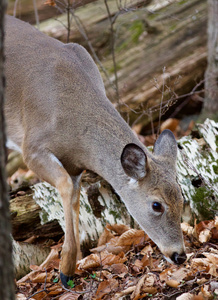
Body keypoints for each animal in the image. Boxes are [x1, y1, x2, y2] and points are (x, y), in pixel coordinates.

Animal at [4, 15, 186, 288]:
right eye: (156, 205)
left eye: (182, 197)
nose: (179, 255)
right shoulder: (32, 146)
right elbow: (65, 186)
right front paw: (65, 269)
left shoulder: (75, 165)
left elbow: (76, 197)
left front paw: (75, 263)